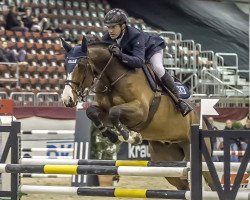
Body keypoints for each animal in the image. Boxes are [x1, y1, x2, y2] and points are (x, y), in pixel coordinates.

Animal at [60, 36, 211, 191]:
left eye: (81, 65)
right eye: (65, 65)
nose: (67, 99)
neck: (113, 78)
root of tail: (199, 118)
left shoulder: (140, 110)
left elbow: (115, 112)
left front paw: (130, 136)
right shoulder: (105, 112)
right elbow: (92, 112)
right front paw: (114, 136)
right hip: (167, 163)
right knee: (183, 184)